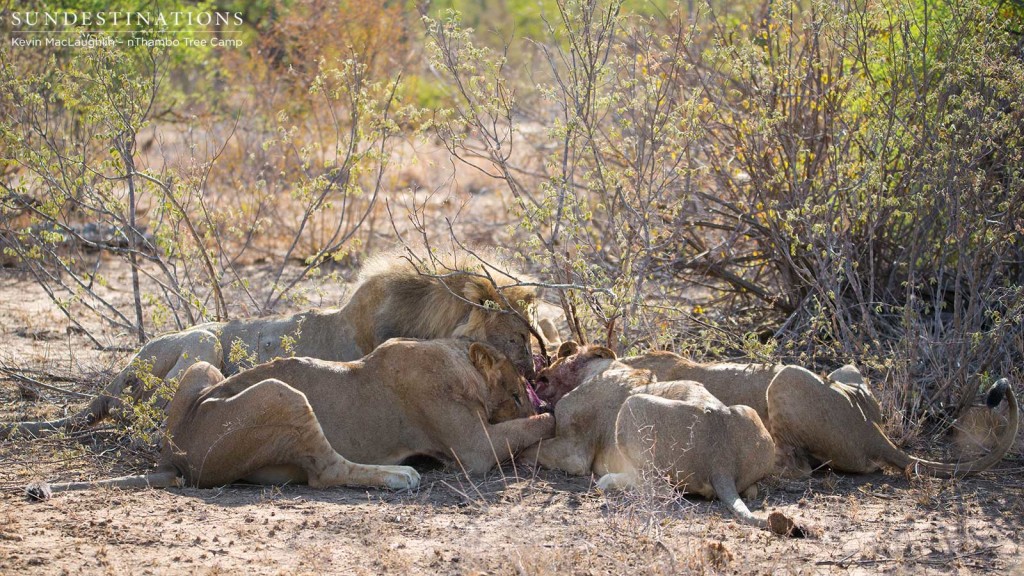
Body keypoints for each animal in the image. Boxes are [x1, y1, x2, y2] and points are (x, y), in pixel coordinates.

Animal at [29, 336, 552, 494]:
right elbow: (534, 426)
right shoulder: (474, 450)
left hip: (204, 366)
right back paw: (399, 477)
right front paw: (552, 415)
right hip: (282, 394)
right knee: (325, 473)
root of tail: (172, 456)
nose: (538, 387)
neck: (459, 357)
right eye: (518, 386)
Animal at [520, 340, 798, 532]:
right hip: (748, 414)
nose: (539, 372)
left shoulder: (573, 451)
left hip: (633, 406)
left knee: (661, 489)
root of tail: (721, 461)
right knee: (749, 490)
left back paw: (608, 481)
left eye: (563, 353)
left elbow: (529, 449)